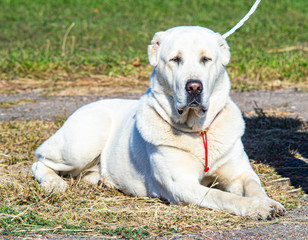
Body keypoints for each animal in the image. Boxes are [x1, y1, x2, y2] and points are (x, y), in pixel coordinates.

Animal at [31, 26, 284, 219]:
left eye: (206, 59)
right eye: (175, 59)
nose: (194, 87)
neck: (198, 130)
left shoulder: (240, 173)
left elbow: (254, 185)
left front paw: (269, 202)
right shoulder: (182, 184)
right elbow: (223, 196)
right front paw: (256, 207)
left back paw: (102, 181)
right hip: (82, 143)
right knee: (39, 161)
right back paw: (53, 183)